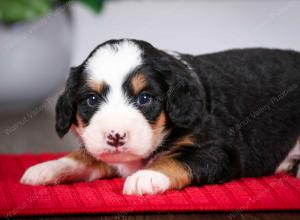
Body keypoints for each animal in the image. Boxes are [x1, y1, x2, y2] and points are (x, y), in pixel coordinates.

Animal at [20, 38, 300, 195]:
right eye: (91, 100)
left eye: (145, 99)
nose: (115, 136)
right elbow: (82, 157)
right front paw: (46, 168)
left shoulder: (217, 150)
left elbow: (176, 159)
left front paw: (147, 176)